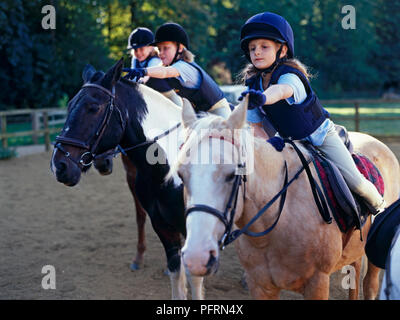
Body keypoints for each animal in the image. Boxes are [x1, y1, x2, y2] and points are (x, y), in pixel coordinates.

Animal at [170, 96, 400, 298]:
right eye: (181, 174)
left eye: (232, 174)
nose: (196, 257)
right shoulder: (260, 285)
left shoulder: (318, 283)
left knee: (369, 286)